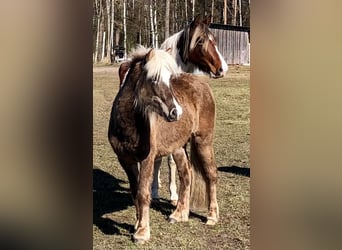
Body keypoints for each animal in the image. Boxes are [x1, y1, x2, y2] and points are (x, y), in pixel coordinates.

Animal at [108, 46, 218, 242]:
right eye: (154, 79)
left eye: (170, 79)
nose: (176, 112)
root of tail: (203, 84)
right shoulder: (126, 160)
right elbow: (135, 191)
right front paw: (137, 224)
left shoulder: (147, 159)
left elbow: (143, 193)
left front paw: (142, 232)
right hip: (179, 148)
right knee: (186, 175)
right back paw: (179, 214)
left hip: (203, 141)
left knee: (211, 175)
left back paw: (211, 217)